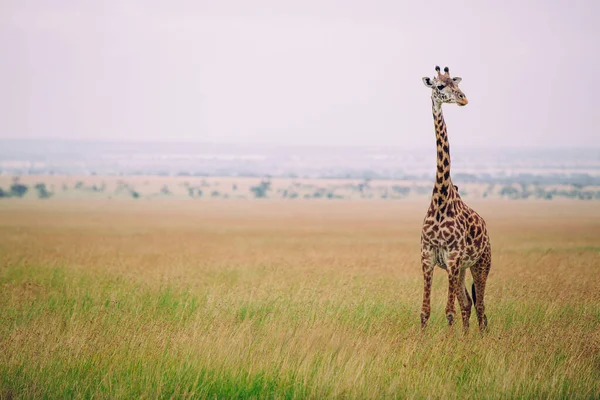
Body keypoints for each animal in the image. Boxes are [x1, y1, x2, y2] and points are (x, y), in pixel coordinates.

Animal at [420, 65, 490, 332]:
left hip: (481, 263)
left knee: (480, 304)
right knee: (467, 303)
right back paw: (466, 336)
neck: (440, 198)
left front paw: (449, 341)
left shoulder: (452, 258)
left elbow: (448, 311)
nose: (463, 98)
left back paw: (480, 337)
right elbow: (425, 311)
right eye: (440, 85)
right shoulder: (428, 257)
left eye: (456, 83)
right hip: (462, 269)